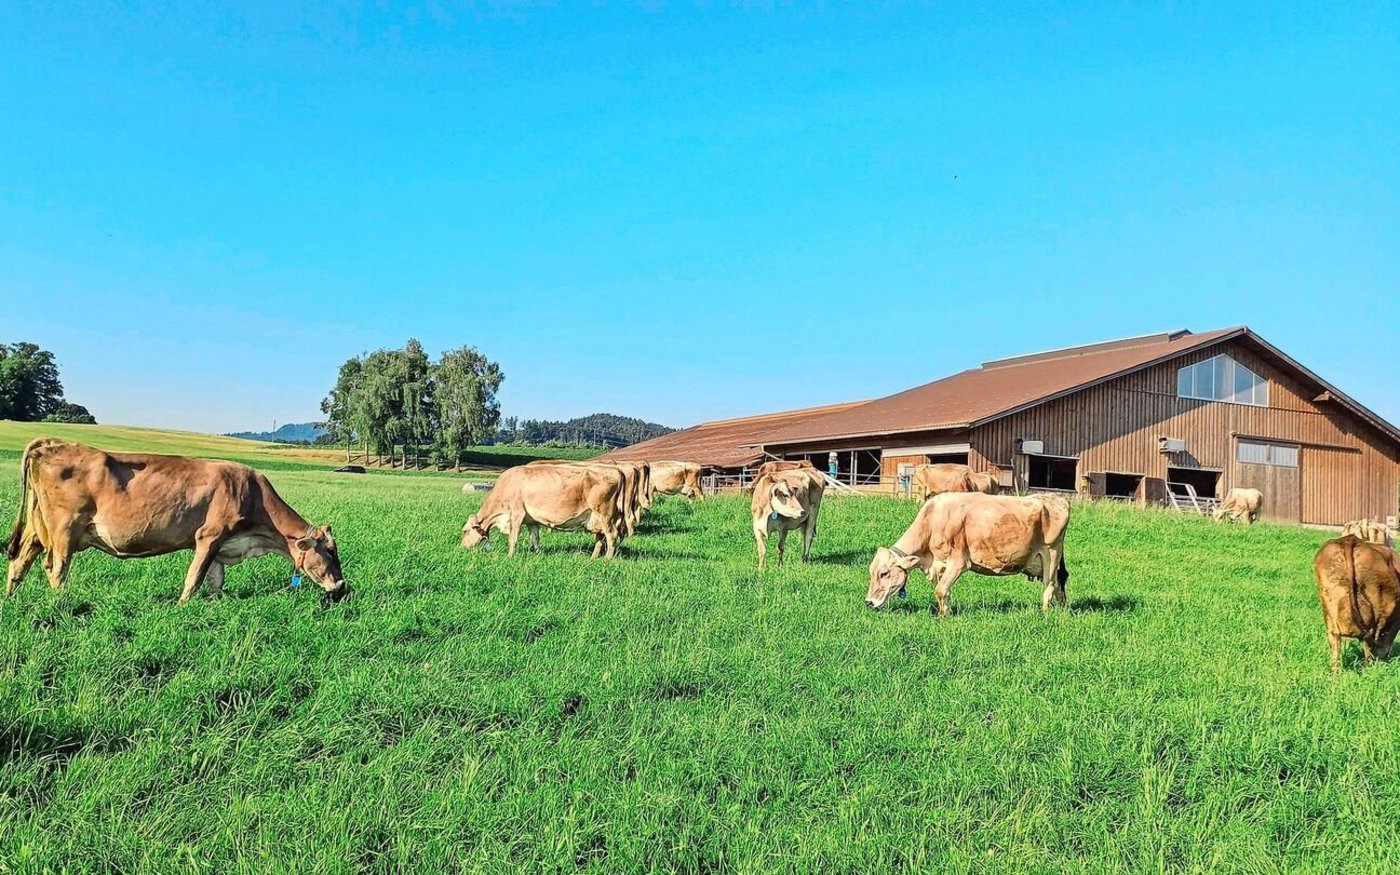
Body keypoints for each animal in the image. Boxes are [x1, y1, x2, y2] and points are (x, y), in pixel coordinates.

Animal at [6, 439, 348, 604]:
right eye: (330, 551)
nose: (341, 586)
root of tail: (52, 444)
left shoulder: (222, 545)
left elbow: (215, 580)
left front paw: (215, 604)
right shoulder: (210, 535)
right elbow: (194, 577)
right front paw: (182, 606)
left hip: (38, 527)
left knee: (19, 561)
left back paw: (10, 599)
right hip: (65, 529)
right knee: (55, 568)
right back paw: (61, 603)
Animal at [462, 463, 624, 559]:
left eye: (465, 531)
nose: (462, 547)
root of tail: (616, 470)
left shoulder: (517, 514)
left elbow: (513, 538)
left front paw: (510, 556)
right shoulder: (531, 520)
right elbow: (535, 538)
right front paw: (538, 554)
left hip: (604, 514)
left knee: (611, 535)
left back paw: (607, 559)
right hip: (595, 518)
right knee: (600, 538)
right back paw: (593, 558)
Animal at [866, 492, 1071, 616]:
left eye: (884, 573)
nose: (869, 602)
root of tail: (1057, 498)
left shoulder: (959, 562)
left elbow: (940, 590)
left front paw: (944, 616)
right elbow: (945, 591)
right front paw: (946, 612)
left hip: (1051, 553)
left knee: (1049, 586)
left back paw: (1045, 613)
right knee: (1058, 584)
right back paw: (1063, 609)